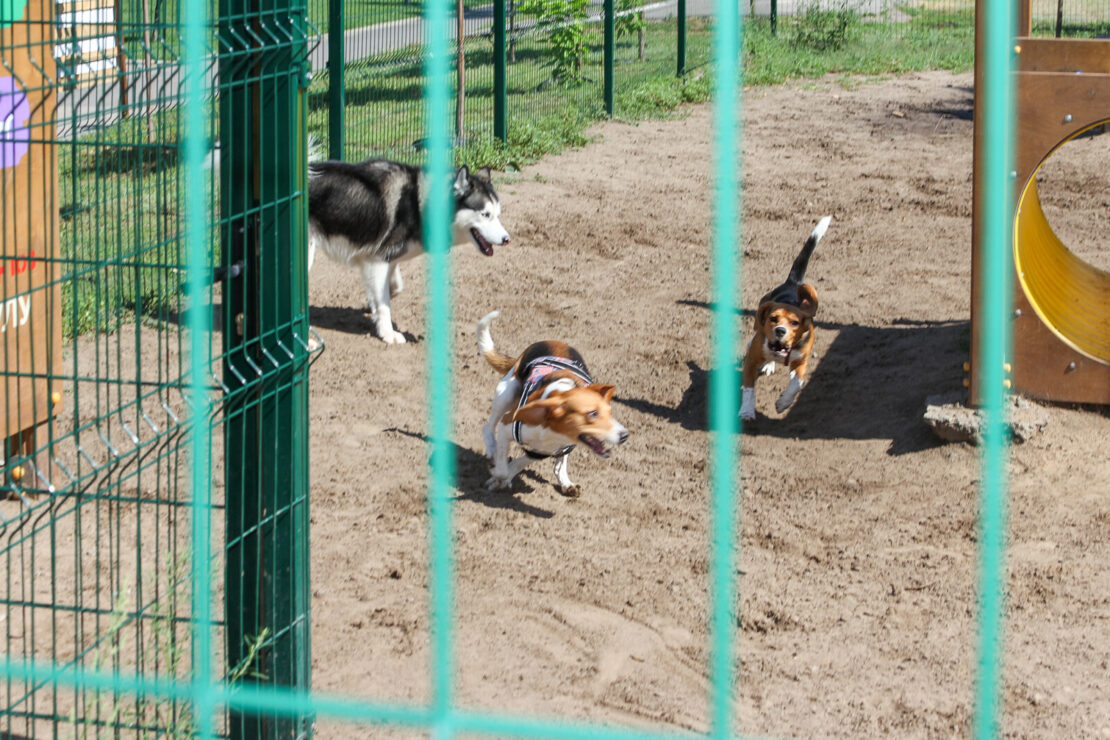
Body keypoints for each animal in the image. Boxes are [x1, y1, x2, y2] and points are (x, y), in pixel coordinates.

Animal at [306, 159, 508, 343]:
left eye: (498, 214)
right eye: (485, 214)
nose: (507, 239)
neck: (420, 204)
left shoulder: (386, 259)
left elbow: (393, 288)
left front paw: (370, 306)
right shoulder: (377, 261)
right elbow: (384, 303)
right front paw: (388, 333)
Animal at [475, 310, 630, 494]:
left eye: (610, 413)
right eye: (593, 413)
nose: (625, 435)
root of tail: (553, 341)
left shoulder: (547, 450)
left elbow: (520, 462)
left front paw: (505, 476)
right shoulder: (507, 426)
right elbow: (502, 464)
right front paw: (498, 476)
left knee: (559, 464)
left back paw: (566, 482)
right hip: (505, 393)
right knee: (488, 427)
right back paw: (491, 448)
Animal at [741, 215, 830, 421]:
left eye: (795, 323)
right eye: (773, 318)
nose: (780, 331)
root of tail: (793, 282)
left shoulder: (801, 362)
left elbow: (797, 384)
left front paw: (783, 403)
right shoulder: (751, 362)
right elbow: (749, 389)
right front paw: (746, 411)